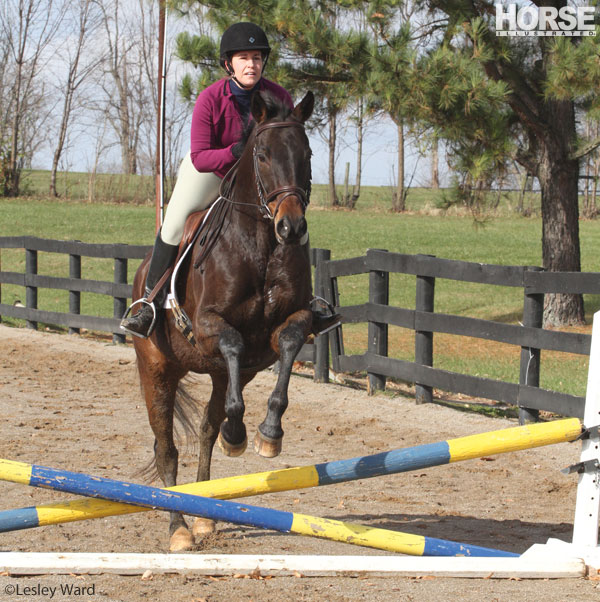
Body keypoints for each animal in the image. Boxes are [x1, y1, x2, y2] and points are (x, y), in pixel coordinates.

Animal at [131, 90, 316, 548]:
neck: (261, 244)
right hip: (156, 369)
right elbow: (232, 340)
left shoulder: (288, 325)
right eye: (262, 155)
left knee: (206, 430)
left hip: (217, 373)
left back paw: (203, 515)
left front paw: (269, 434)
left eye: (306, 154)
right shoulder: (206, 326)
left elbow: (289, 343)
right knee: (166, 448)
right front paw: (241, 433)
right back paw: (179, 528)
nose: (291, 227)